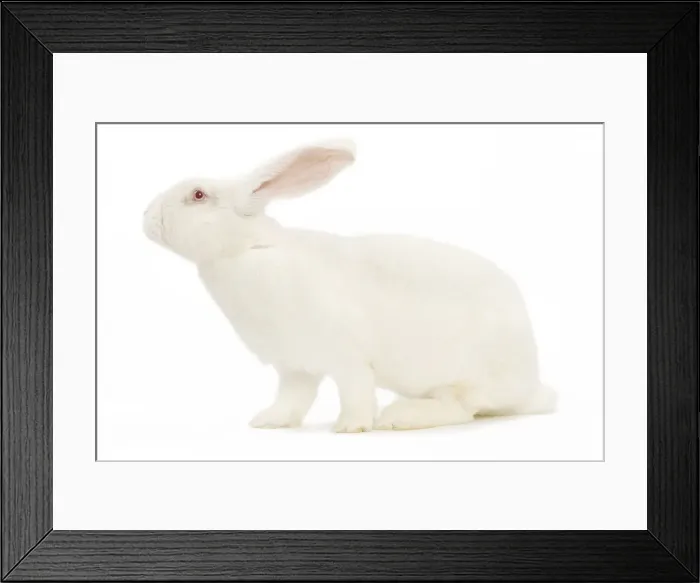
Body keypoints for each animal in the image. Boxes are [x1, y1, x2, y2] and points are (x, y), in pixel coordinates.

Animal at [143, 139, 556, 433]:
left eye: (198, 195)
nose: (146, 218)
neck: (245, 250)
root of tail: (531, 385)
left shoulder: (347, 355)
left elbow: (355, 389)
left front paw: (351, 427)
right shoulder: (293, 366)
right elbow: (293, 398)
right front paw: (269, 421)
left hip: (462, 376)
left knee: (460, 409)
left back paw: (398, 417)